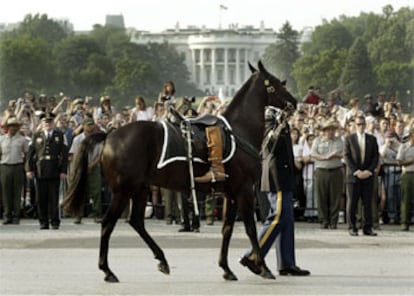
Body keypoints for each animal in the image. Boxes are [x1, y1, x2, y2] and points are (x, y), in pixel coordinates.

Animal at [63, 60, 296, 282]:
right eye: (275, 83)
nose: (294, 102)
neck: (239, 131)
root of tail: (109, 135)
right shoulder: (244, 191)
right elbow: (250, 228)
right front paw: (262, 267)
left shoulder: (231, 193)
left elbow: (227, 229)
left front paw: (227, 268)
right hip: (123, 191)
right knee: (108, 224)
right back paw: (107, 270)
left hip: (139, 188)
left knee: (136, 222)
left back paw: (161, 259)